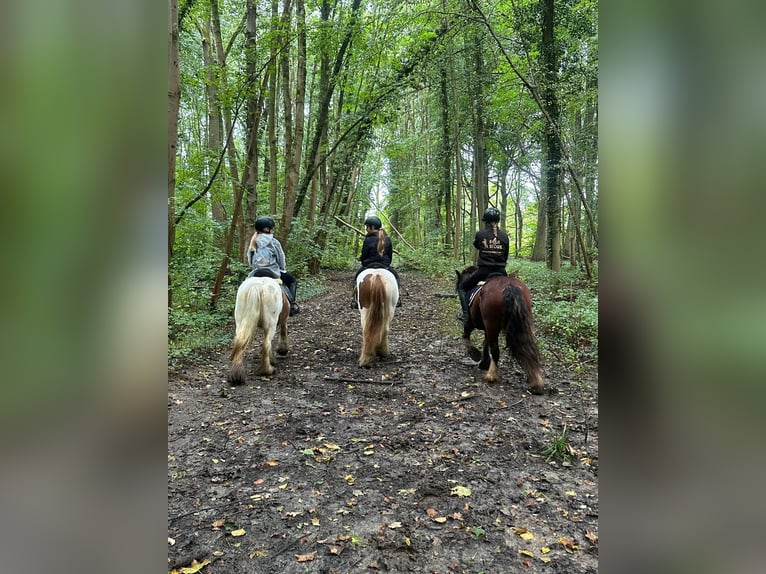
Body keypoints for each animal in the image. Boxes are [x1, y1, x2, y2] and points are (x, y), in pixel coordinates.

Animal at [456, 266, 544, 394]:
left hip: (491, 324)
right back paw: (536, 381)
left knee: (495, 350)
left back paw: (491, 376)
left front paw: (475, 355)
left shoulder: (471, 323)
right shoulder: (486, 327)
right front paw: (484, 362)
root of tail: (510, 286)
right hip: (524, 322)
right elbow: (485, 342)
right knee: (529, 348)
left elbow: (466, 336)